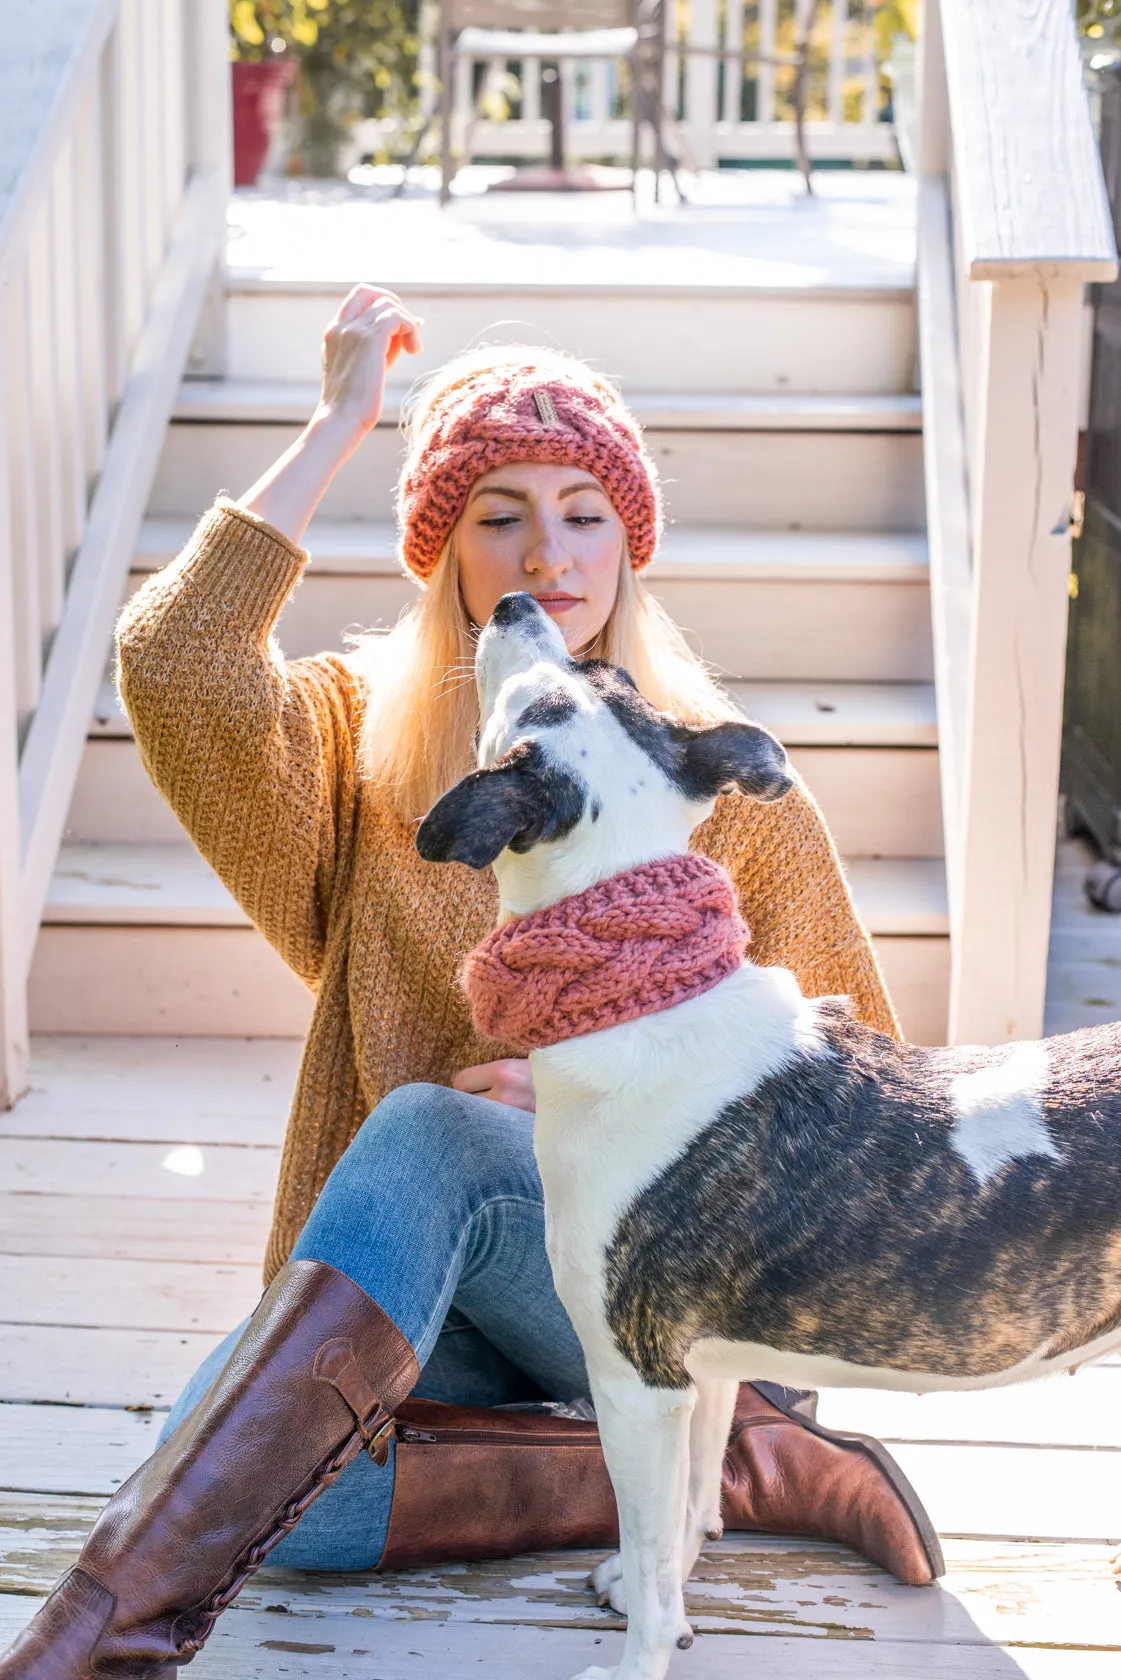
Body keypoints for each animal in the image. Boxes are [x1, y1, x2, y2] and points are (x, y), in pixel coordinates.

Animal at [416, 591, 1121, 1680]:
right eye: (608, 678)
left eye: (530, 709)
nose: (513, 601)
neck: (645, 996)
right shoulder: (700, 1373)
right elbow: (686, 1515)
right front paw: (657, 1601)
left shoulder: (634, 1379)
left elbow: (647, 1531)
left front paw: (636, 1659)